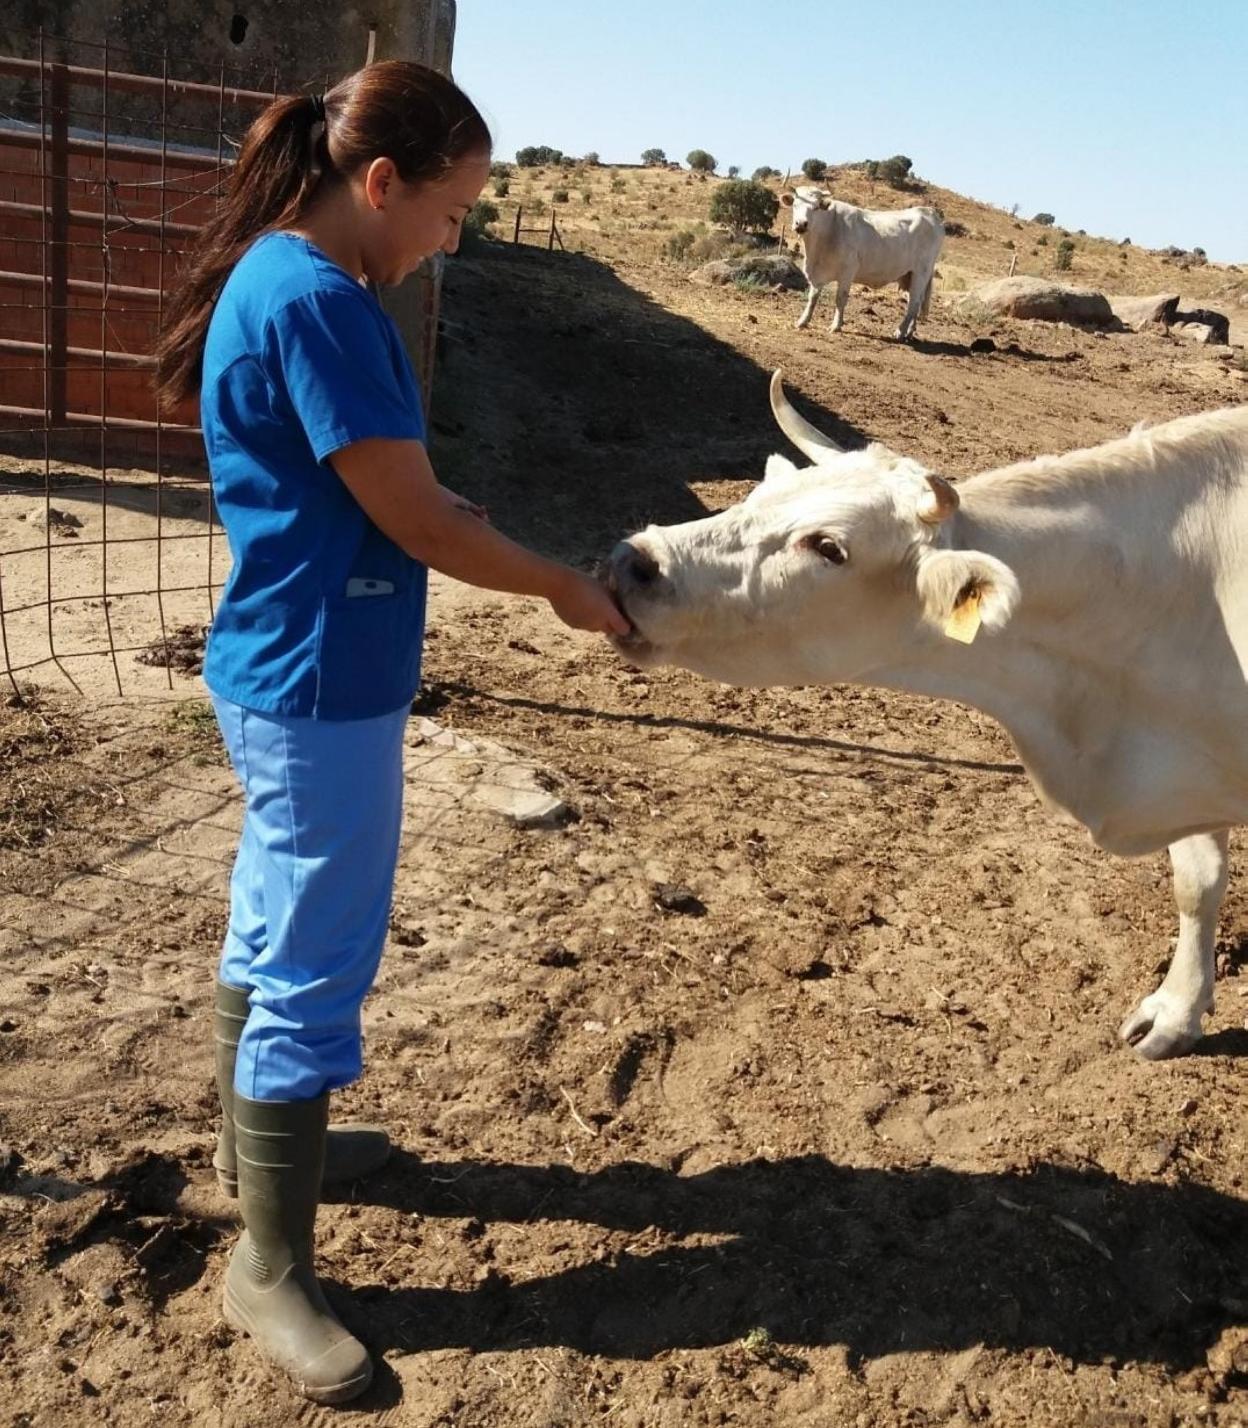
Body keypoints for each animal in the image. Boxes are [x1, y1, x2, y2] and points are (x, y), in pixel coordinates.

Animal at [776, 184, 942, 339]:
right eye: (795, 205)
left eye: (816, 207)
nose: (801, 224)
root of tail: (928, 211)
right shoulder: (817, 274)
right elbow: (813, 298)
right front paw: (802, 321)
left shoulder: (847, 271)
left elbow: (840, 298)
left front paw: (836, 326)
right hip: (909, 275)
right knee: (916, 302)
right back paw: (909, 332)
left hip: (921, 272)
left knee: (914, 303)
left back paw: (900, 332)